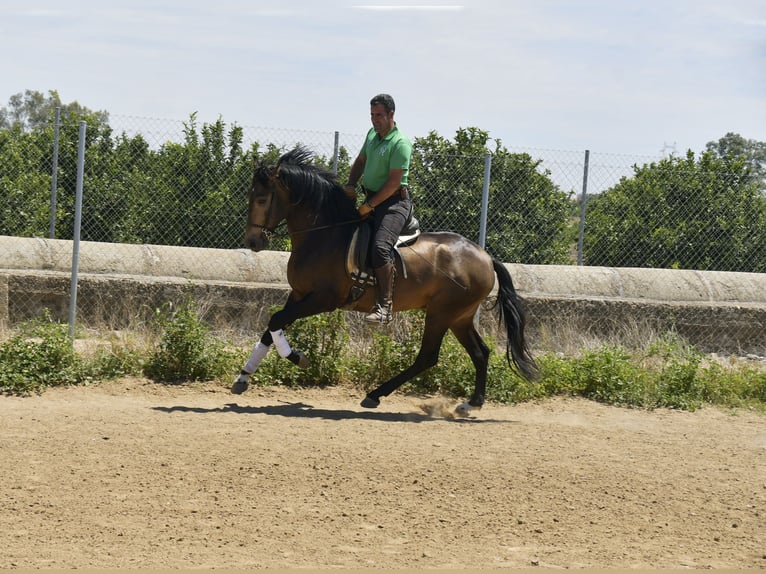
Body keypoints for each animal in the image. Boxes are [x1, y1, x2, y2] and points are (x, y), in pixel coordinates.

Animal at [231, 144, 536, 414]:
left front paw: (297, 357)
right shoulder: (299, 294)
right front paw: (243, 377)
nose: (253, 241)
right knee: (480, 352)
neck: (324, 234)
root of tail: (486, 257)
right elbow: (272, 325)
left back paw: (375, 395)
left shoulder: (323, 299)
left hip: (442, 313)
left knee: (428, 357)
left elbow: (276, 320)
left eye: (261, 199)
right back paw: (471, 403)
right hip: (459, 316)